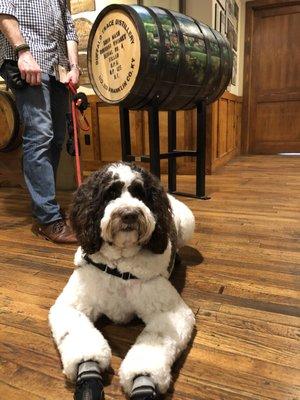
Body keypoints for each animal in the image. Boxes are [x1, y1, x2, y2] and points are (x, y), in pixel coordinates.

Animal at [48, 162, 195, 400]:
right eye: (110, 193)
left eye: (140, 193)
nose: (129, 214)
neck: (118, 266)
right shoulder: (70, 305)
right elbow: (80, 339)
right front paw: (87, 369)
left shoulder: (171, 313)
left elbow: (153, 346)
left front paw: (143, 380)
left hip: (187, 223)